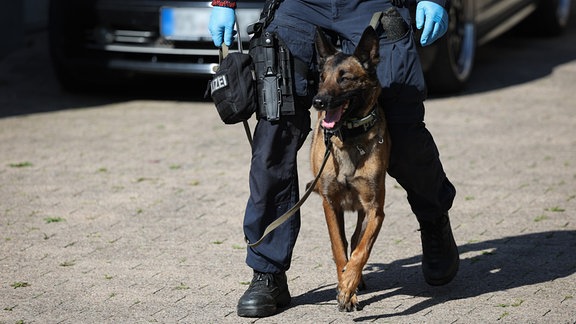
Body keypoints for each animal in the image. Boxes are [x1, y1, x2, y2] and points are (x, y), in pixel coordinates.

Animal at [310, 27, 392, 312]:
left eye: (344, 78)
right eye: (321, 78)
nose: (318, 101)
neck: (350, 136)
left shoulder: (375, 210)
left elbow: (362, 248)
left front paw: (348, 286)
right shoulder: (329, 203)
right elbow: (339, 248)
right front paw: (344, 286)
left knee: (356, 240)